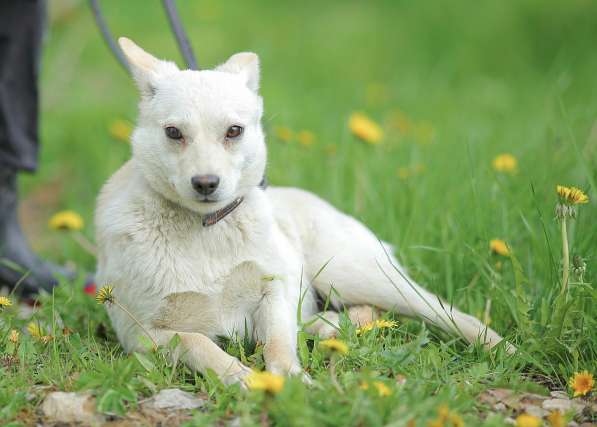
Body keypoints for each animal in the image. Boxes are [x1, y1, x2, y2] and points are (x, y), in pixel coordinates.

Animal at [95, 36, 510, 384]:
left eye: (234, 131)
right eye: (173, 133)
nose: (206, 184)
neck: (206, 228)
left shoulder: (275, 291)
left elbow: (278, 344)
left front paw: (289, 380)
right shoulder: (144, 334)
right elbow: (201, 345)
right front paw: (249, 381)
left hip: (353, 273)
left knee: (442, 310)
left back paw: (500, 347)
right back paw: (327, 326)